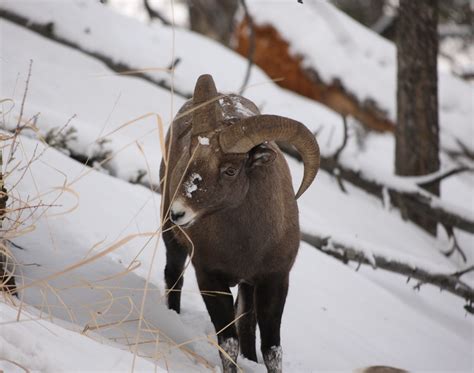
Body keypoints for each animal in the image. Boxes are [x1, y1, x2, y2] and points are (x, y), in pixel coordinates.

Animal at [161, 74, 320, 370]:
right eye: (190, 156)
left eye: (230, 170)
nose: (178, 213)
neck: (248, 244)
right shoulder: (209, 277)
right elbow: (228, 343)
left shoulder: (274, 281)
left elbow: (271, 349)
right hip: (171, 240)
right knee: (174, 276)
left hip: (248, 286)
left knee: (247, 323)